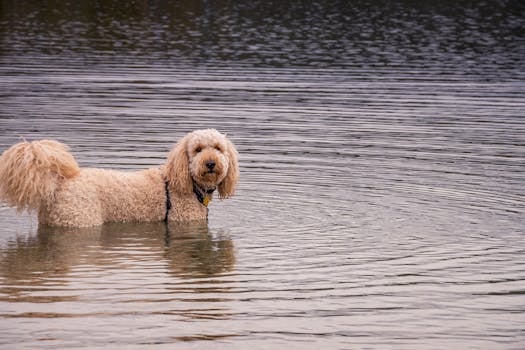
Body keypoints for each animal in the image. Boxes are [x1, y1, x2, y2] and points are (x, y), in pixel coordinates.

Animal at [0, 129, 239, 227]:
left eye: (218, 148)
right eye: (197, 149)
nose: (210, 163)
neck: (187, 184)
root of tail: (60, 182)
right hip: (80, 220)